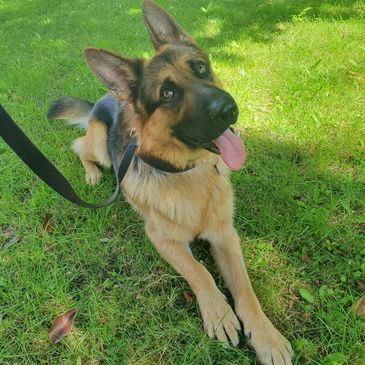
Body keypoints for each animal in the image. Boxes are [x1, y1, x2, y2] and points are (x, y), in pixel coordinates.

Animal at [47, 1, 292, 362]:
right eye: (168, 93)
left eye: (201, 68)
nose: (228, 108)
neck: (189, 173)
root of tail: (107, 97)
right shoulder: (163, 240)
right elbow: (199, 271)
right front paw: (220, 313)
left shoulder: (226, 236)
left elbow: (246, 289)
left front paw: (267, 337)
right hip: (101, 147)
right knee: (80, 148)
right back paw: (91, 173)